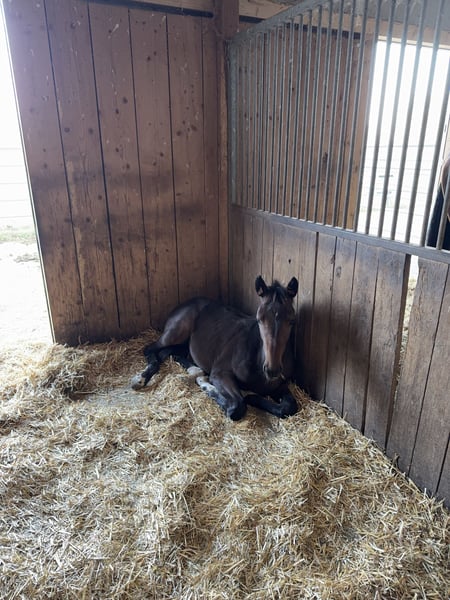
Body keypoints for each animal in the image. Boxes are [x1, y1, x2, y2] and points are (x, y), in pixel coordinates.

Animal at [131, 275, 299, 421]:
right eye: (259, 319)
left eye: (292, 320)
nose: (272, 370)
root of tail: (186, 302)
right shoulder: (220, 373)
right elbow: (236, 406)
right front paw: (208, 385)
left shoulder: (280, 385)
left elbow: (288, 408)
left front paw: (253, 397)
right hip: (175, 333)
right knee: (151, 349)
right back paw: (141, 379)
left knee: (170, 353)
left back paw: (194, 369)